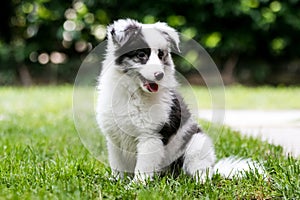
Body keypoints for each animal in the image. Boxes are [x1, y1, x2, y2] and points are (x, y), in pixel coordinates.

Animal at [96, 18, 262, 183]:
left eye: (161, 55)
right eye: (141, 54)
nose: (160, 75)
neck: (134, 93)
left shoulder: (150, 137)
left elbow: (143, 167)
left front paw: (136, 185)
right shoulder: (114, 137)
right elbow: (117, 164)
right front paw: (116, 181)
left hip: (197, 144)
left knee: (202, 171)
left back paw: (200, 182)